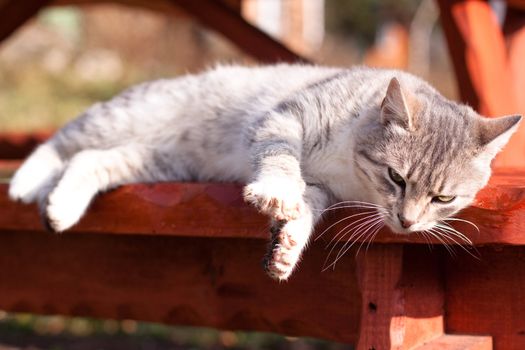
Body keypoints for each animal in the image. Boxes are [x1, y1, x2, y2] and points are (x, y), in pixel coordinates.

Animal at [8, 64, 520, 280]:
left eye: (443, 198)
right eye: (397, 177)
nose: (408, 223)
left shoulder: (321, 190)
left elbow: (305, 211)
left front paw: (287, 248)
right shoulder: (286, 117)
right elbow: (280, 157)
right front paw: (274, 190)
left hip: (161, 160)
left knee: (90, 160)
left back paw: (61, 204)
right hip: (128, 117)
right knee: (65, 142)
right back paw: (26, 181)